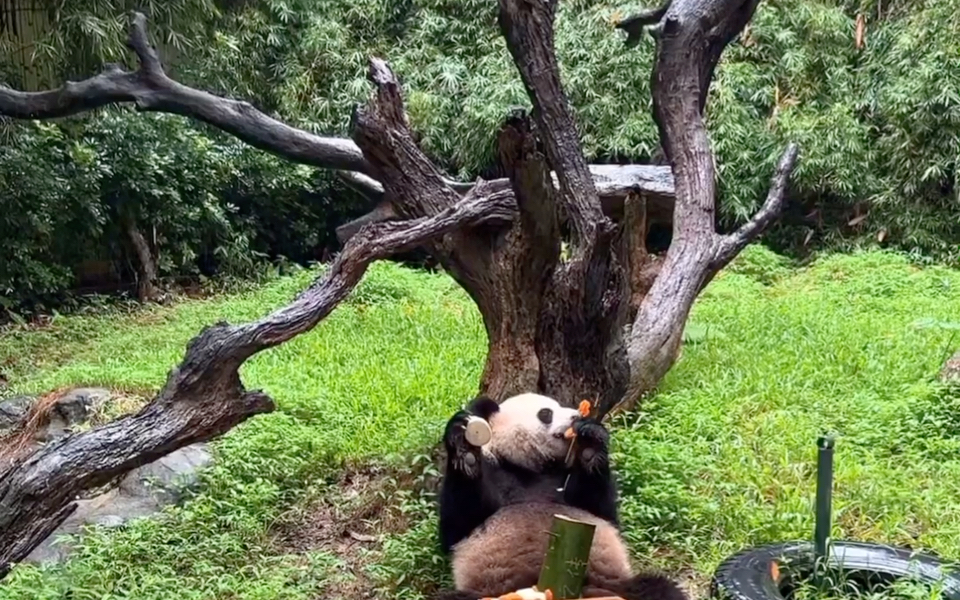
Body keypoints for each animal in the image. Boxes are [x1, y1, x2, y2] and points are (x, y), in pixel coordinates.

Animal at [432, 392, 688, 600]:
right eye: (546, 413)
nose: (575, 417)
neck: (534, 467)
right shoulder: (498, 473)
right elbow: (457, 527)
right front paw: (464, 449)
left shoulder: (565, 479)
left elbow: (603, 511)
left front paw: (590, 441)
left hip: (617, 584)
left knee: (660, 588)